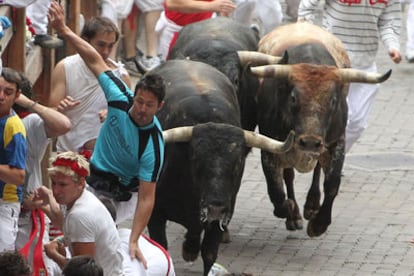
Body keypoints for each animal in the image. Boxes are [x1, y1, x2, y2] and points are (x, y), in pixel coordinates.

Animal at [148, 59, 292, 274]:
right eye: (195, 159)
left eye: (238, 162)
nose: (215, 206)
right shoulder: (154, 213)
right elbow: (161, 248)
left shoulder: (223, 215)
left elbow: (209, 253)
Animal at [247, 22, 392, 237]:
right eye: (293, 98)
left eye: (332, 100)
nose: (309, 142)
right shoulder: (271, 145)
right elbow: (276, 189)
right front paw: (289, 210)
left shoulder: (336, 142)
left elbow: (332, 182)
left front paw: (319, 223)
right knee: (288, 176)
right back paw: (295, 215)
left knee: (316, 170)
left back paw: (312, 205)